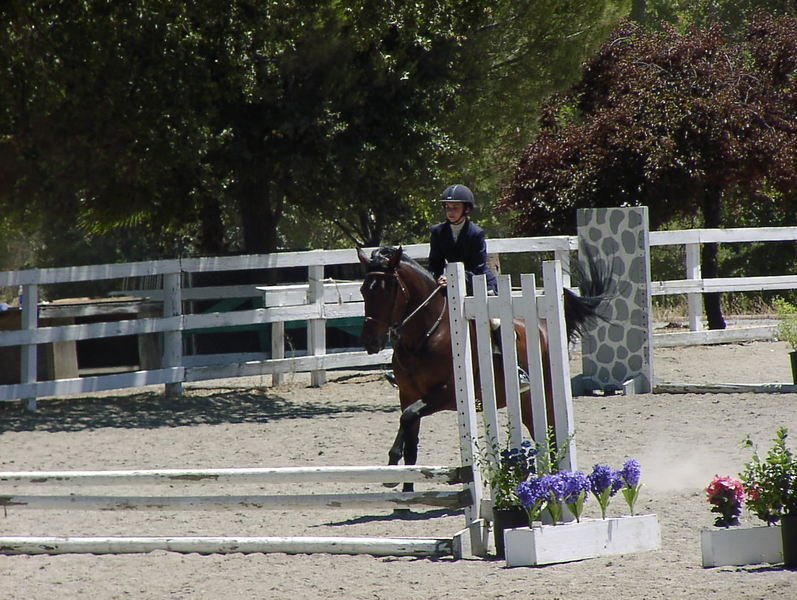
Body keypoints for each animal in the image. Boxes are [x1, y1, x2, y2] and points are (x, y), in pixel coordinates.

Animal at [357, 245, 611, 492]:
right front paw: (402, 486)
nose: (371, 342)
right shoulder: (407, 393)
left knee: (553, 434)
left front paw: (392, 470)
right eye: (363, 291)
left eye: (386, 291)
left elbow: (408, 415)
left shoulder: (448, 394)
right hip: (527, 401)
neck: (424, 337)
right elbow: (410, 436)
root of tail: (543, 324)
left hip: (547, 394)